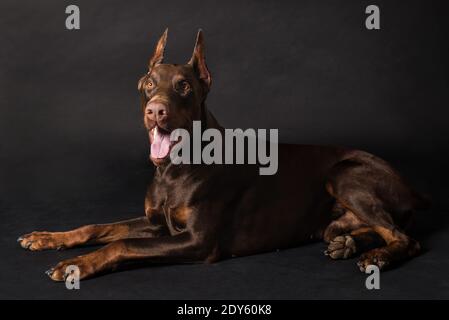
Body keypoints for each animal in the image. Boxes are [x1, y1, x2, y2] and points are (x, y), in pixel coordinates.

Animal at [17, 29, 428, 280]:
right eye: (148, 83)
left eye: (184, 86)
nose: (155, 110)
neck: (173, 171)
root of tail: (412, 187)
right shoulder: (156, 223)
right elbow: (99, 227)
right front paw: (47, 237)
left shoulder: (198, 242)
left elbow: (122, 243)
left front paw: (75, 265)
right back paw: (348, 243)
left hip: (343, 174)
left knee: (406, 238)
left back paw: (376, 256)